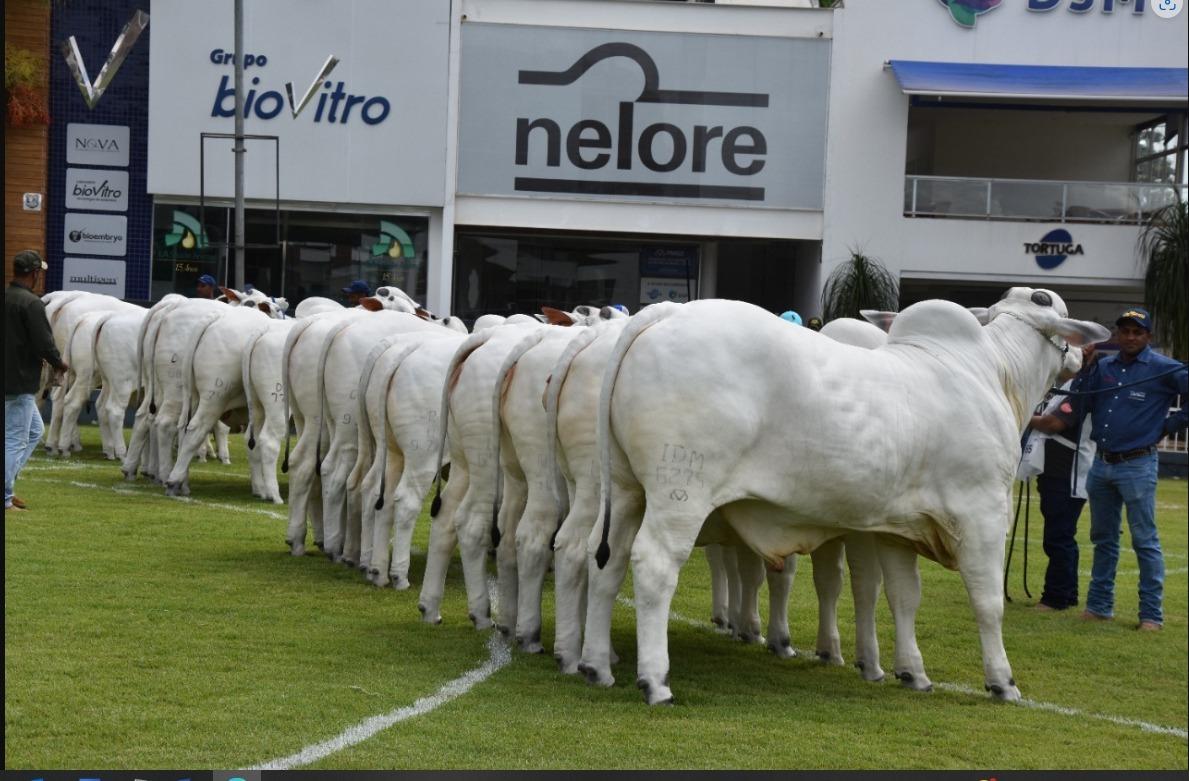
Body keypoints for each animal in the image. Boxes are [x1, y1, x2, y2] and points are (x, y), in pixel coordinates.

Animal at [587, 288, 1103, 703]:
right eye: (1053, 307)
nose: (1083, 358)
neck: (993, 373)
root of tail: (666, 312)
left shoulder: (900, 530)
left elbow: (903, 597)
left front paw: (911, 672)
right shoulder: (984, 514)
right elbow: (989, 601)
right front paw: (1002, 682)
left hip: (626, 490)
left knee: (604, 560)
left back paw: (595, 664)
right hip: (681, 492)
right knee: (654, 564)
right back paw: (655, 680)